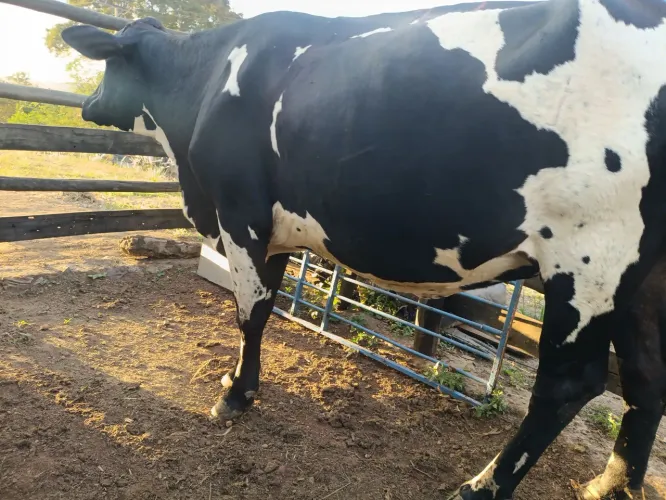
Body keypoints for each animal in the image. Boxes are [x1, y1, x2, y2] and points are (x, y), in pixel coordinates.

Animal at [60, 0, 666, 497]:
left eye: (110, 64)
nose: (87, 103)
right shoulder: (271, 230)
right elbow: (266, 306)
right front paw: (243, 385)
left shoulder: (240, 214)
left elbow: (250, 313)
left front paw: (233, 396)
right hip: (643, 283)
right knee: (647, 378)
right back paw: (613, 485)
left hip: (589, 259)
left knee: (569, 384)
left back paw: (481, 487)